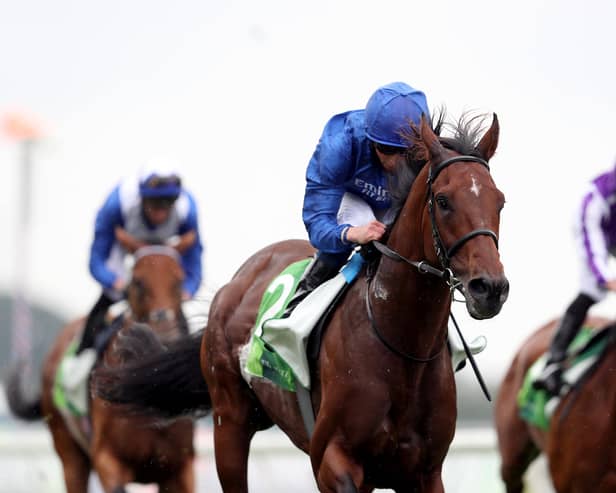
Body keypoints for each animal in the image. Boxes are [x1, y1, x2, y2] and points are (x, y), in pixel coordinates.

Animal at [5, 244, 195, 492]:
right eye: (137, 282)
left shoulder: (180, 469)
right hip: (69, 454)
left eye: (179, 281)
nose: (165, 334)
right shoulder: (108, 459)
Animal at [96, 112, 508, 492]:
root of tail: (238, 281)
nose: (489, 287)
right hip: (229, 422)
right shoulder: (332, 460)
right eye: (443, 200)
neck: (401, 347)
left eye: (500, 202)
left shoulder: (424, 472)